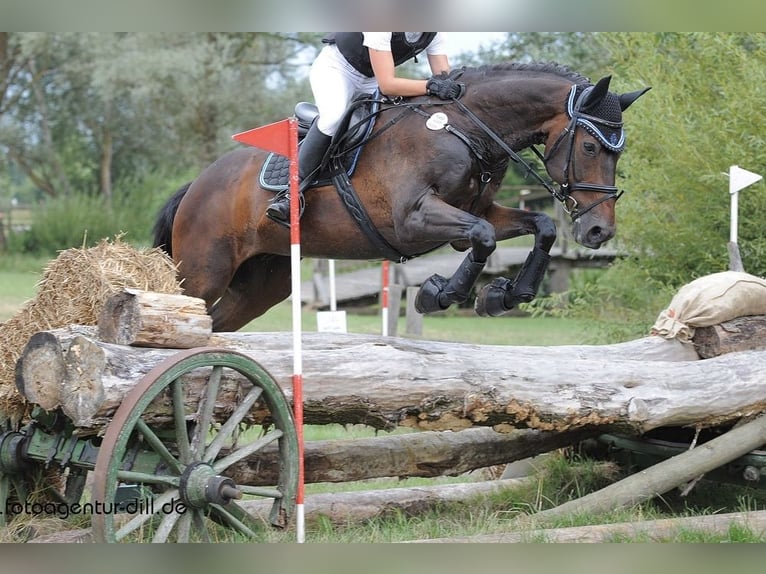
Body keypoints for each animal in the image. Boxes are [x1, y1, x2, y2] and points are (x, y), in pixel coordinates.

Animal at [153, 63, 652, 332]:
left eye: (619, 151)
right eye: (590, 148)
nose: (598, 231)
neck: (466, 129)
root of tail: (196, 184)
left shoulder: (475, 211)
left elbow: (539, 227)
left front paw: (505, 296)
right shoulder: (413, 220)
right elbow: (484, 237)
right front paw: (440, 294)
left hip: (263, 282)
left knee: (215, 330)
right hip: (203, 272)